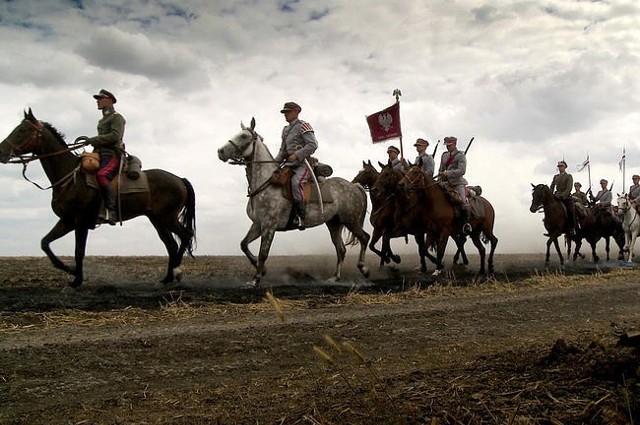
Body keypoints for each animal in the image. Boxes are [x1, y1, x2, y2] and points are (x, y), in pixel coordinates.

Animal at [0, 109, 195, 288]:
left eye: (22, 130)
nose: (1, 151)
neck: (70, 178)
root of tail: (180, 179)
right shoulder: (67, 221)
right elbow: (45, 243)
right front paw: (69, 270)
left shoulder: (80, 222)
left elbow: (79, 251)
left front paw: (76, 280)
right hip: (157, 219)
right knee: (171, 244)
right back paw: (167, 278)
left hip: (167, 218)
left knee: (185, 236)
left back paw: (176, 271)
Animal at [219, 117, 370, 286]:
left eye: (244, 136)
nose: (220, 151)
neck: (266, 183)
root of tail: (354, 186)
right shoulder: (258, 224)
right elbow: (244, 245)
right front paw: (261, 271)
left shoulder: (269, 227)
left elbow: (263, 253)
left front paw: (256, 279)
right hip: (334, 223)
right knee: (341, 249)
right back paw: (335, 277)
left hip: (351, 221)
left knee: (364, 238)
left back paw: (363, 269)